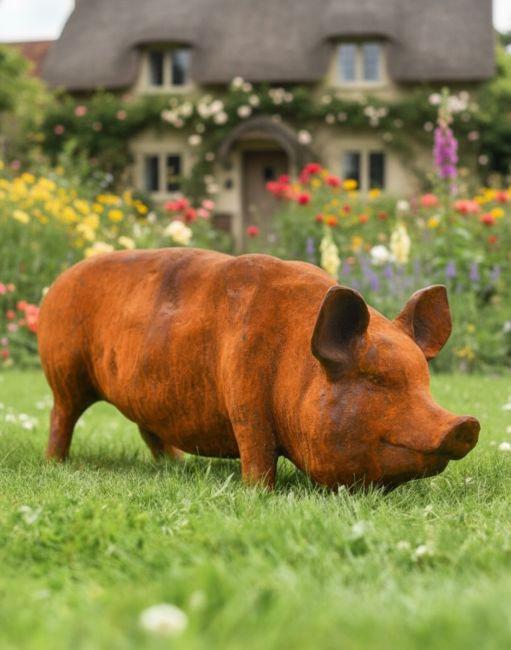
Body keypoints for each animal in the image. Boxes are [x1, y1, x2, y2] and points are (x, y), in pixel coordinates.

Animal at [38, 248, 479, 490]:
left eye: (424, 382)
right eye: (379, 380)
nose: (466, 424)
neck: (293, 359)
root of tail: (57, 281)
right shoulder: (245, 401)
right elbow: (256, 452)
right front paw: (259, 492)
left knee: (150, 430)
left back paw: (176, 466)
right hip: (63, 374)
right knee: (61, 416)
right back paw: (56, 464)